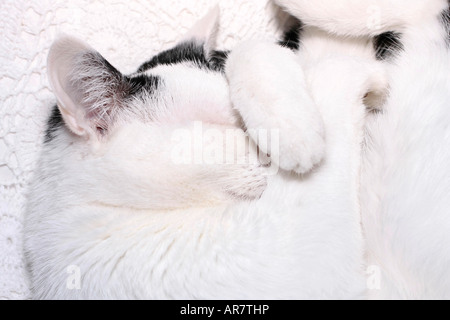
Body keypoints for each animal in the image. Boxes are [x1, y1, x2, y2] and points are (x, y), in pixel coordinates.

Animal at [25, 0, 450, 300]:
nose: (267, 154)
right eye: (220, 129)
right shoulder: (292, 254)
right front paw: (299, 132)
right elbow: (332, 73)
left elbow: (256, 51)